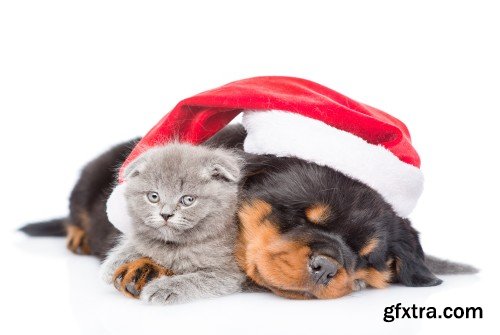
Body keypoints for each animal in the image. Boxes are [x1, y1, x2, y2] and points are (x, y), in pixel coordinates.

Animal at [98, 143, 245, 306]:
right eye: (153, 196)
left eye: (188, 200)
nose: (165, 215)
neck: (175, 247)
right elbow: (141, 243)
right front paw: (115, 262)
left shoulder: (229, 272)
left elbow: (195, 279)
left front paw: (163, 288)